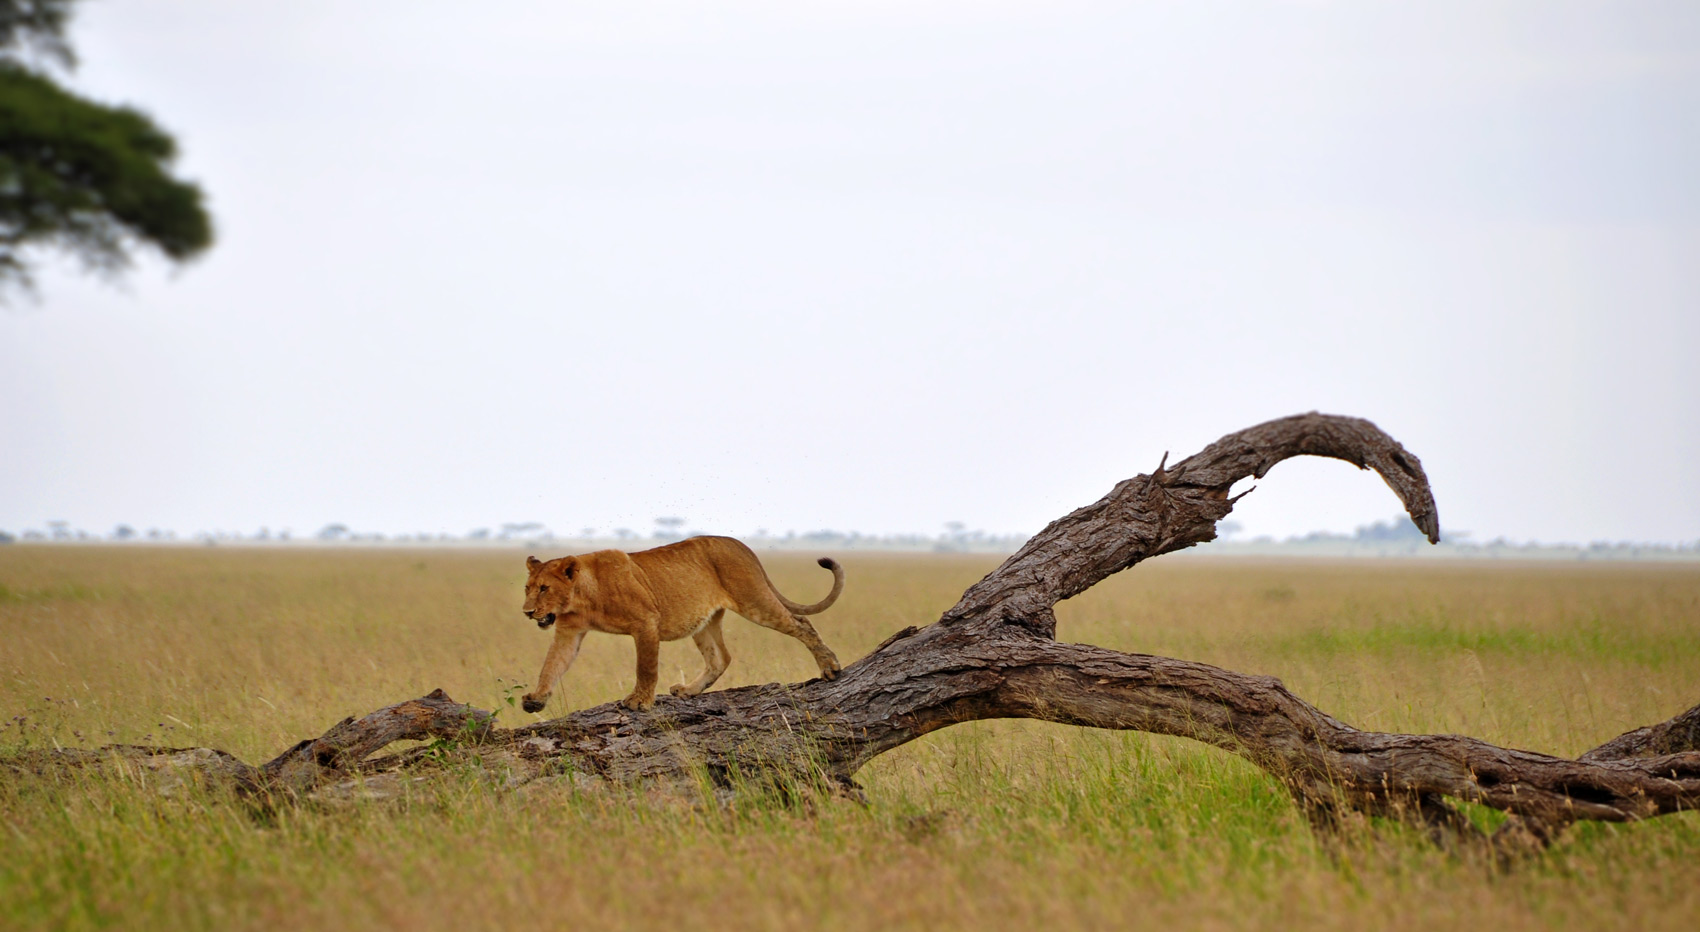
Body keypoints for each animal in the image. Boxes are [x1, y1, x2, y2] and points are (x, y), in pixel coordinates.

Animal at [519, 536, 844, 713]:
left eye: (545, 588)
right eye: (528, 588)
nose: (527, 612)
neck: (582, 599)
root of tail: (740, 544)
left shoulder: (646, 621)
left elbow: (646, 668)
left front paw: (640, 702)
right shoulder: (568, 632)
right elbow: (552, 666)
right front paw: (536, 699)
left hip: (754, 600)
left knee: (801, 622)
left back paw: (829, 666)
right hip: (704, 622)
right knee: (721, 658)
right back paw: (689, 691)